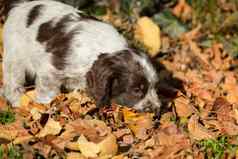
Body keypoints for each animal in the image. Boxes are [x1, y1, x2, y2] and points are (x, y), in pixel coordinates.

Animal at [1, 0, 161, 112]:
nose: (156, 110)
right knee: (12, 83)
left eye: (154, 86)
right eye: (136, 90)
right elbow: (48, 92)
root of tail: (20, 5)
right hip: (15, 57)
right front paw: (45, 108)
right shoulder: (51, 70)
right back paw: (18, 103)